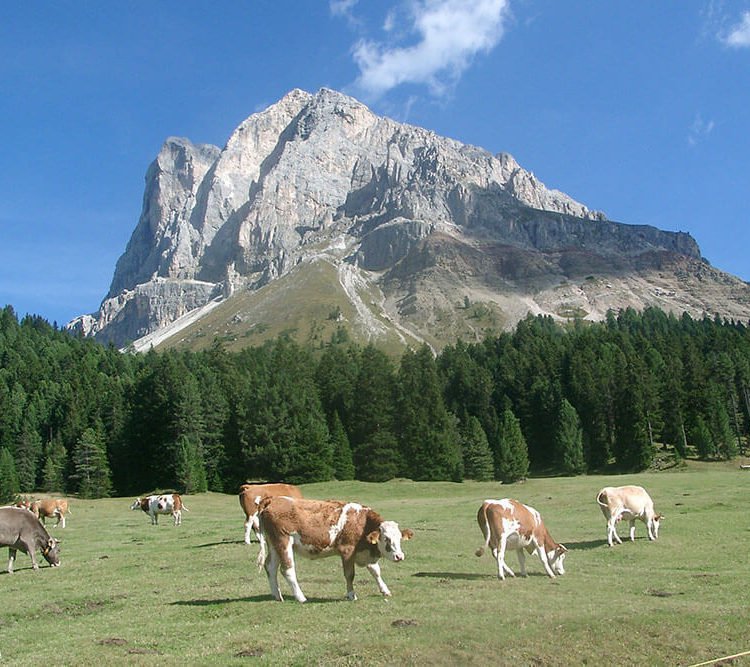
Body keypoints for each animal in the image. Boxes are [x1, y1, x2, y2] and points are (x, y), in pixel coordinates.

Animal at [256, 496, 414, 604]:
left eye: (399, 538)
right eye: (386, 538)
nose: (399, 556)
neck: (362, 523)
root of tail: (272, 499)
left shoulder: (364, 553)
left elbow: (376, 572)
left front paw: (385, 590)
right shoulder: (347, 551)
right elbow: (350, 574)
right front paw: (351, 595)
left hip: (274, 543)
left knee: (270, 567)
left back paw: (277, 596)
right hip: (283, 541)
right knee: (287, 570)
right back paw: (301, 597)